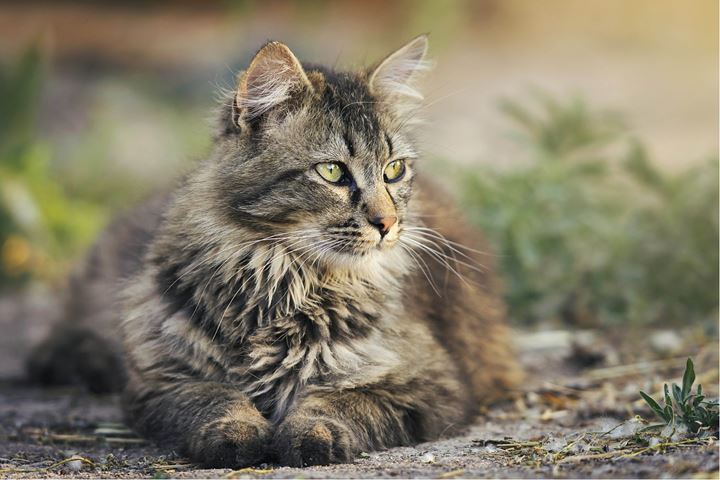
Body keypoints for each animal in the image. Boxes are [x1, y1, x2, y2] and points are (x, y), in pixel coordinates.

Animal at [28, 36, 524, 468]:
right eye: (332, 172)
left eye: (394, 170)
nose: (387, 225)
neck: (281, 279)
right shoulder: (161, 379)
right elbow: (214, 398)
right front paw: (237, 433)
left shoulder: (431, 384)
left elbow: (339, 401)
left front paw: (311, 434)